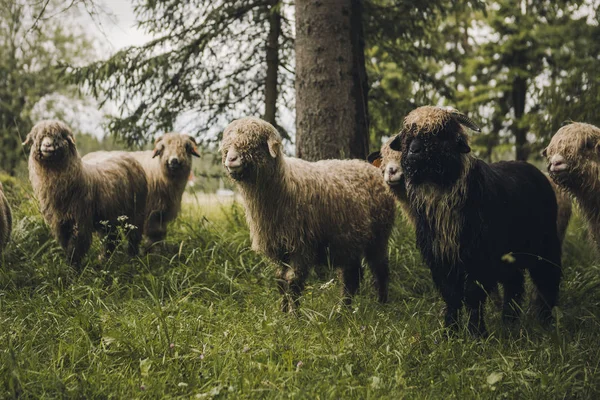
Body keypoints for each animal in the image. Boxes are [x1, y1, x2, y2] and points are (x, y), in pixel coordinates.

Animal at [24, 120, 149, 268]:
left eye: (58, 136)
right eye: (37, 137)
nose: (47, 145)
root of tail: (125, 154)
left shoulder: (80, 221)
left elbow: (76, 247)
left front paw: (74, 268)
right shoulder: (60, 224)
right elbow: (66, 245)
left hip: (136, 212)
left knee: (133, 237)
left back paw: (132, 259)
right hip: (110, 217)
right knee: (112, 238)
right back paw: (105, 260)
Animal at [220, 117, 398, 310]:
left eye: (255, 143)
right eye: (227, 145)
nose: (231, 159)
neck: (283, 184)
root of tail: (371, 168)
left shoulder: (301, 244)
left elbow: (293, 281)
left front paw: (294, 315)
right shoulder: (279, 247)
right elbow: (280, 280)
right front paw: (282, 311)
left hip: (379, 234)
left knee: (380, 268)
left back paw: (382, 304)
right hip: (351, 238)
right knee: (352, 274)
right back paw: (344, 309)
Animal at [390, 107, 564, 338]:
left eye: (440, 134)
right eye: (407, 137)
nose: (413, 152)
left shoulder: (479, 257)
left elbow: (473, 295)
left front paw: (476, 334)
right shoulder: (441, 258)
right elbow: (451, 296)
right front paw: (450, 332)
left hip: (544, 242)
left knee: (547, 277)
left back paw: (545, 321)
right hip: (509, 254)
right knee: (514, 282)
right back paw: (509, 321)